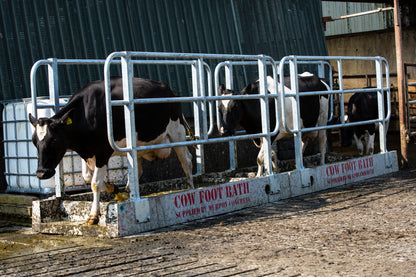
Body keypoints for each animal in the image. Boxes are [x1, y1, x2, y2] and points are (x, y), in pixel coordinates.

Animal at [29, 76, 193, 224]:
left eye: (54, 140)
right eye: (34, 141)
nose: (41, 173)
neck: (85, 113)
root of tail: (169, 90)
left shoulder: (102, 151)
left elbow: (95, 183)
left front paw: (93, 215)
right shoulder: (87, 151)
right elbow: (87, 177)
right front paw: (113, 188)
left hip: (177, 133)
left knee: (186, 161)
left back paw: (191, 189)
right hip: (138, 146)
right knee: (138, 170)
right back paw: (128, 190)